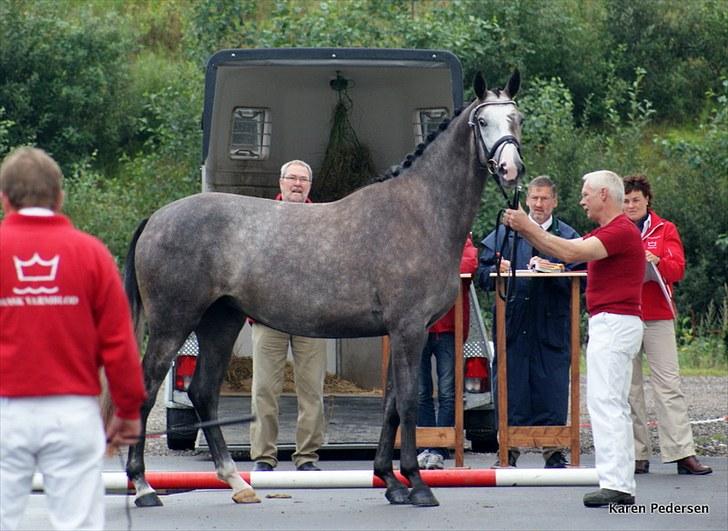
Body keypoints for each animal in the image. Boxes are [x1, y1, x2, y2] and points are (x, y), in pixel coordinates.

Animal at [123, 70, 524, 508]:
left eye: (517, 118)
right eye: (482, 122)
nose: (511, 168)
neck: (420, 212)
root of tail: (156, 218)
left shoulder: (400, 333)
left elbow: (390, 405)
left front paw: (391, 481)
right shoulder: (409, 329)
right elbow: (407, 402)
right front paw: (417, 486)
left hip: (220, 321)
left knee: (203, 392)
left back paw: (236, 483)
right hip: (172, 325)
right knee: (148, 389)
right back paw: (144, 487)